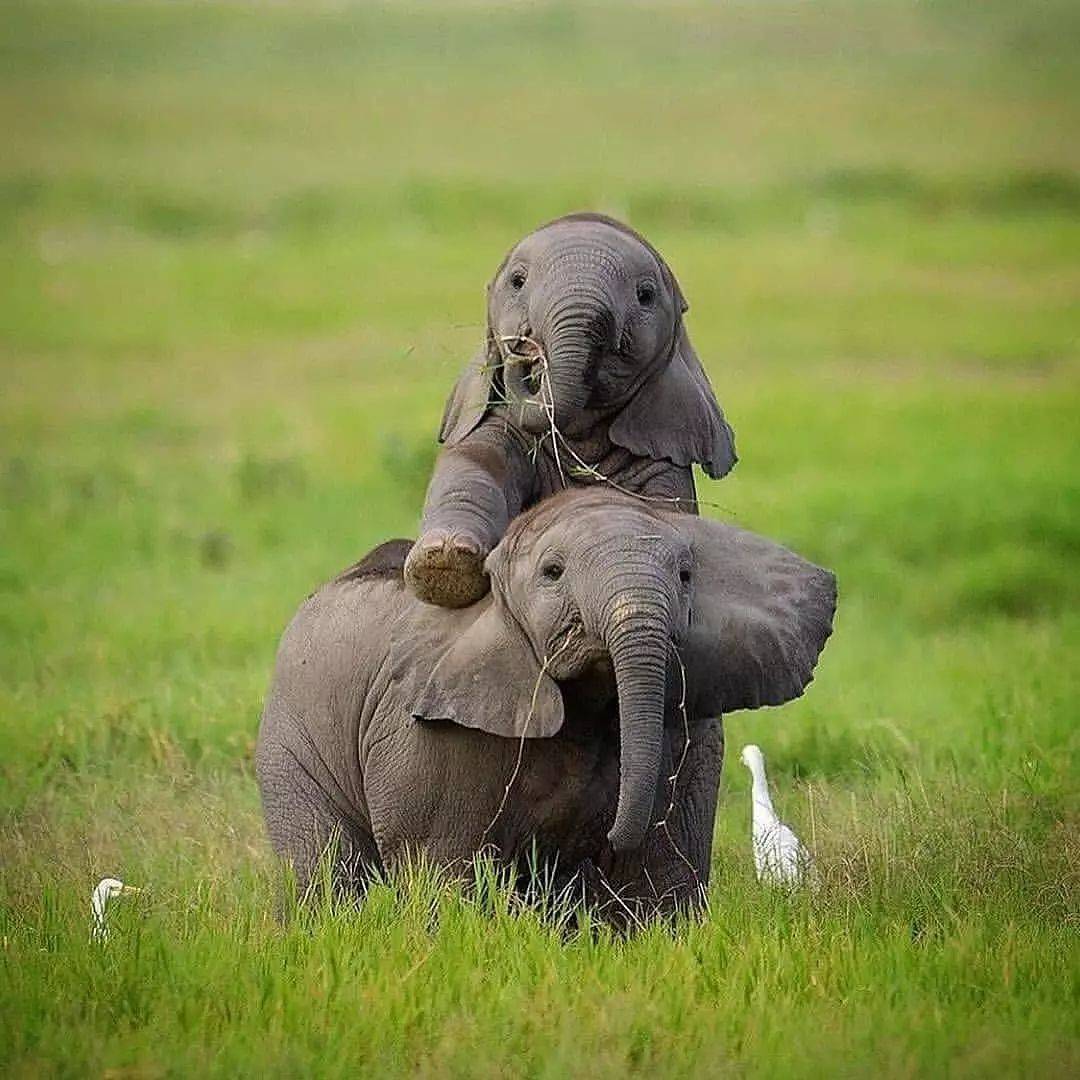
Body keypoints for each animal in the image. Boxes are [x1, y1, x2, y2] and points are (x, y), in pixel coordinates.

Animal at [254, 490, 833, 920]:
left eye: (687, 576)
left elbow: (660, 868)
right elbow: (445, 869)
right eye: (552, 573)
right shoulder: (430, 734)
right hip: (291, 738)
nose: (610, 834)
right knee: (325, 869)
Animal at [401, 214, 738, 613]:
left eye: (645, 295)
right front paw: (444, 565)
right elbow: (475, 464)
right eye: (517, 281)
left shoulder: (662, 453)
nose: (523, 345)